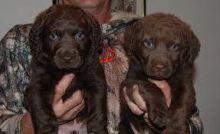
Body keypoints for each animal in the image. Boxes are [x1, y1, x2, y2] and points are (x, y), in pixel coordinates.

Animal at [25, 5, 107, 134]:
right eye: (53, 36)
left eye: (80, 35)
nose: (67, 58)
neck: (67, 71)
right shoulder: (38, 84)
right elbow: (41, 110)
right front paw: (46, 130)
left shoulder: (95, 80)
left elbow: (98, 111)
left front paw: (97, 130)